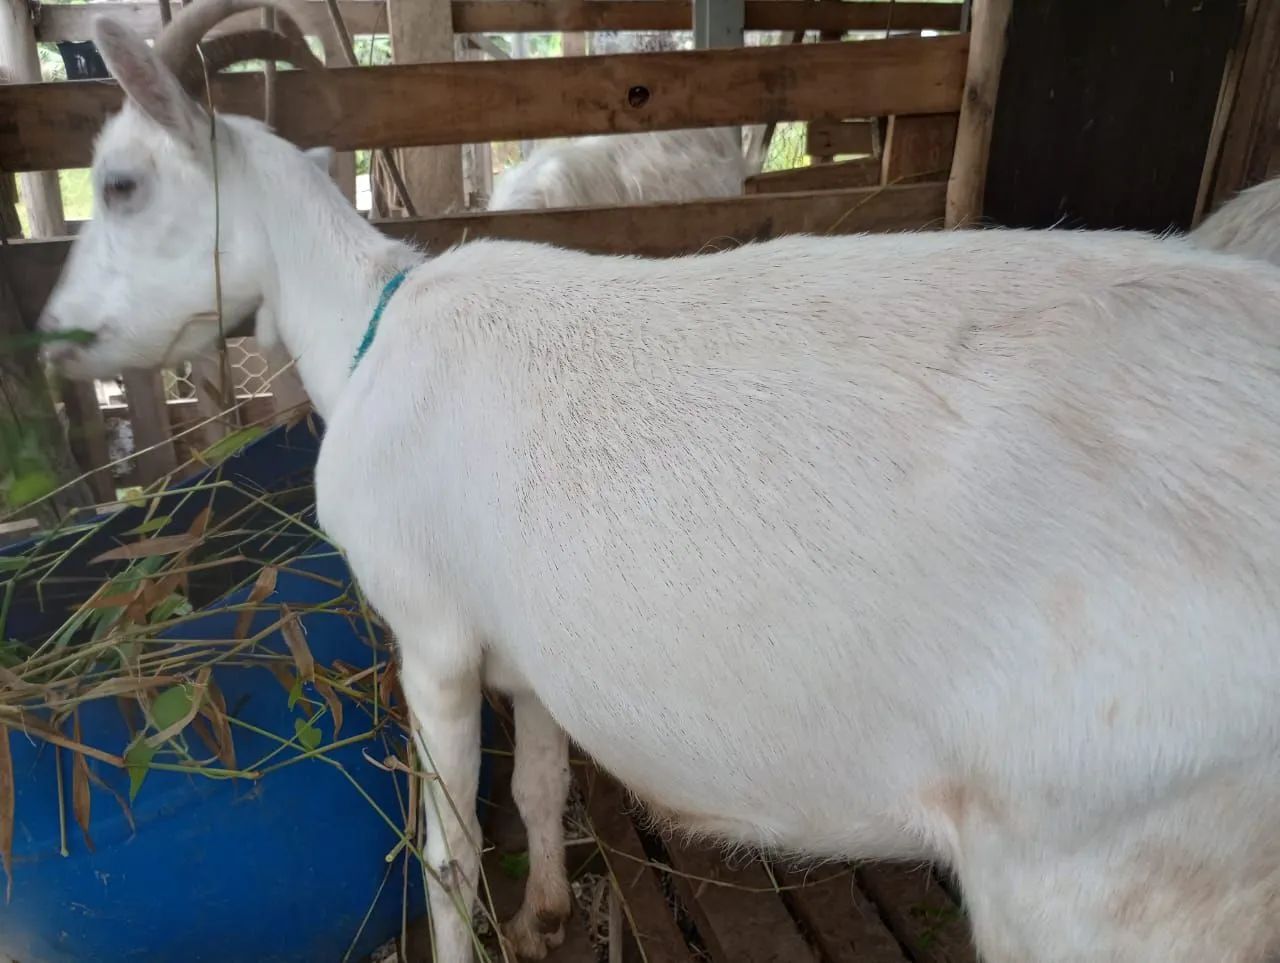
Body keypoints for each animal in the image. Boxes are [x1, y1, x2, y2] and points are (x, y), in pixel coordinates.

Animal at [39, 4, 1280, 961]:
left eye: (121, 182)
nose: (51, 334)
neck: (366, 332)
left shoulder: (431, 634)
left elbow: (446, 855)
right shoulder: (527, 652)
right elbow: (537, 789)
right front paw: (544, 914)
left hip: (1109, 866)